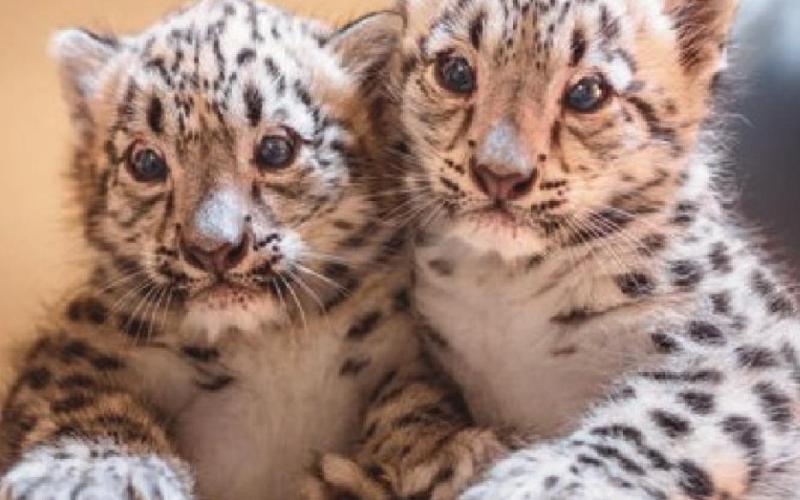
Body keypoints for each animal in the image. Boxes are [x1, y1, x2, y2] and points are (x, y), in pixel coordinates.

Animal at [0, 1, 502, 499]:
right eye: (145, 162)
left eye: (276, 149)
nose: (213, 249)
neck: (271, 347)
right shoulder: (81, 344)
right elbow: (80, 397)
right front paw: (94, 474)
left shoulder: (406, 343)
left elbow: (417, 391)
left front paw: (441, 453)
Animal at [375, 0, 800, 498]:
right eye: (455, 71)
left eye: (587, 93)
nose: (501, 174)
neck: (501, 281)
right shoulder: (424, 344)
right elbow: (400, 395)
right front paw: (444, 451)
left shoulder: (743, 343)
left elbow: (656, 421)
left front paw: (525, 480)